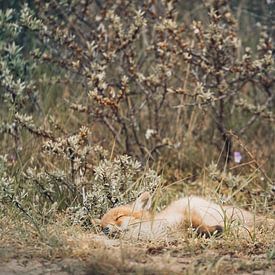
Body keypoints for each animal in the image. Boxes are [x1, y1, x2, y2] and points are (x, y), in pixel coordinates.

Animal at [100, 193, 274, 240]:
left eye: (118, 217)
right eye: (100, 226)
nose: (105, 230)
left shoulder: (187, 212)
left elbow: (201, 226)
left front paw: (217, 230)